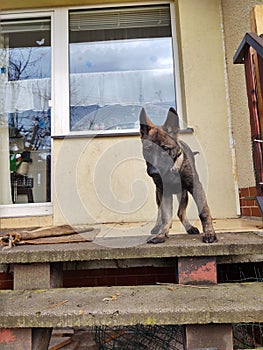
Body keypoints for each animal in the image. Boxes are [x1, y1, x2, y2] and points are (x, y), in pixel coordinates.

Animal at [141, 106, 218, 243]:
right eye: (148, 149)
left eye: (165, 149)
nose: (154, 172)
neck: (172, 170)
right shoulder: (164, 192)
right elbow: (165, 215)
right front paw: (161, 234)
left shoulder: (195, 187)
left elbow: (204, 211)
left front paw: (209, 233)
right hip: (160, 193)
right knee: (162, 211)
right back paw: (159, 227)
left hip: (183, 194)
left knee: (180, 212)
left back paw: (189, 228)